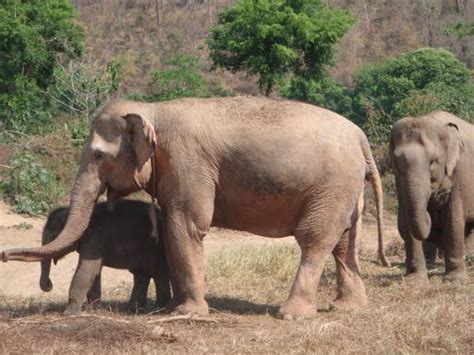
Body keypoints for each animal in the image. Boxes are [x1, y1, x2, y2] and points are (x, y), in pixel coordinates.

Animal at [39, 200, 171, 314]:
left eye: (53, 236)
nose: (49, 284)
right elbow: (95, 273)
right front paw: (94, 309)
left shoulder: (94, 239)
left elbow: (87, 270)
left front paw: (69, 314)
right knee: (141, 275)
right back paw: (132, 309)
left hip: (155, 249)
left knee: (157, 274)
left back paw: (158, 308)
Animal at [388, 111, 474, 284]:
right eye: (397, 163)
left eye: (433, 162)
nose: (429, 213)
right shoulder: (399, 182)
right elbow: (407, 221)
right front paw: (415, 279)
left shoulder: (459, 173)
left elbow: (453, 219)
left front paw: (454, 280)